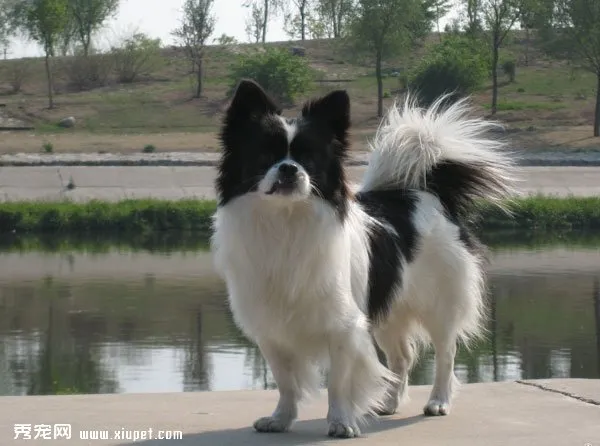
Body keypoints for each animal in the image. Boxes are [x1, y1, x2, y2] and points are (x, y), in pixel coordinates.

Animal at [211, 81, 516, 440]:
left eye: (308, 159)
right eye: (265, 156)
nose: (289, 168)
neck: (286, 220)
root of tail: (426, 192)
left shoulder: (344, 326)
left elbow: (338, 383)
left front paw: (341, 422)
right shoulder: (272, 330)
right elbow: (285, 382)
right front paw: (281, 419)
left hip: (440, 305)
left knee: (446, 354)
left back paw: (438, 401)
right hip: (388, 311)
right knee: (402, 357)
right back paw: (390, 403)